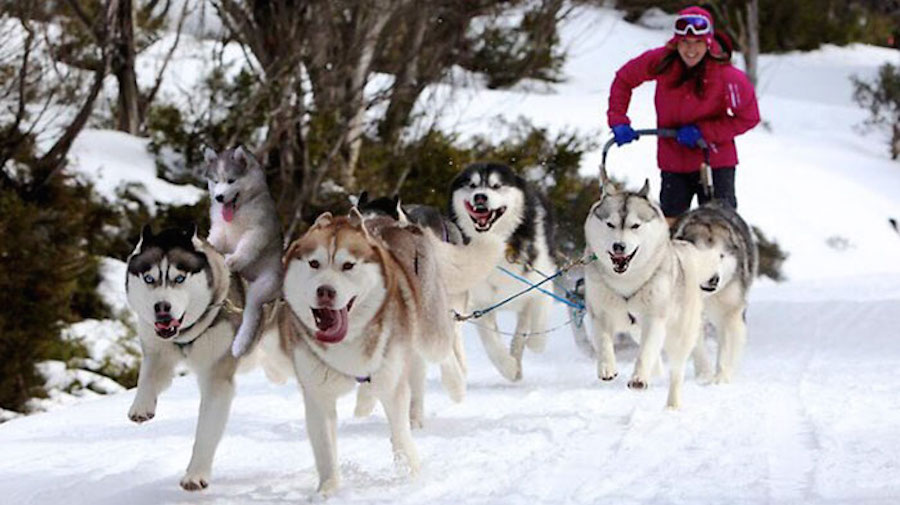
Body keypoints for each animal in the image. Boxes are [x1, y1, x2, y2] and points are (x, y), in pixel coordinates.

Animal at [125, 224, 248, 488]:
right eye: (149, 278)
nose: (162, 308)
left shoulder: (217, 377)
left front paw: (196, 474)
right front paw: (141, 405)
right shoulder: (157, 350)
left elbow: (206, 431)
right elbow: (148, 375)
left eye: (179, 278)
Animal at [203, 146, 282, 358]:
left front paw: (234, 259)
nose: (219, 197)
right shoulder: (220, 229)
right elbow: (214, 240)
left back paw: (240, 344)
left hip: (263, 286)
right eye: (216, 181)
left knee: (251, 313)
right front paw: (205, 243)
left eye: (231, 180)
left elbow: (247, 246)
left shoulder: (258, 231)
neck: (238, 211)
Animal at [276, 211, 468, 494]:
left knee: (443, 351)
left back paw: (456, 386)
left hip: (429, 330)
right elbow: (325, 448)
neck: (348, 341)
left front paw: (410, 475)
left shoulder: (391, 381)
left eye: (348, 265)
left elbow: (400, 434)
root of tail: (403, 224)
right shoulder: (317, 394)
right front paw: (328, 489)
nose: (325, 291)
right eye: (314, 263)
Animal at [584, 179, 716, 408]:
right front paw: (607, 367)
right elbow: (603, 341)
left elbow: (645, 353)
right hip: (638, 331)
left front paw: (638, 378)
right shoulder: (599, 314)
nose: (619, 246)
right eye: (610, 224)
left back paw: (672, 405)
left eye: (635, 226)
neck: (625, 281)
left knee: (676, 372)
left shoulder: (654, 319)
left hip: (679, 337)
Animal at [672, 201, 756, 382]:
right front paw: (704, 374)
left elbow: (726, 346)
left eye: (721, 256)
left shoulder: (730, 310)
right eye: (699, 255)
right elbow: (697, 345)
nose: (713, 279)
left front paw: (721, 377)